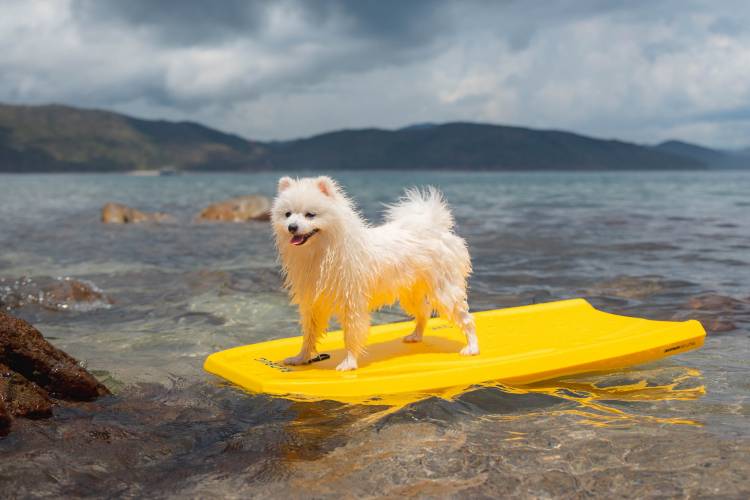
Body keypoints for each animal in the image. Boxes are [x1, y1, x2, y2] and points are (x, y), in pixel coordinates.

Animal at [274, 176, 478, 372]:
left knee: (467, 319)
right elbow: (309, 335)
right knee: (424, 313)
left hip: (445, 291)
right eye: (287, 214)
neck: (322, 252)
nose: (291, 227)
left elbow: (351, 335)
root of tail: (434, 227)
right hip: (411, 294)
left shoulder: (352, 303)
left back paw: (472, 348)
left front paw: (349, 363)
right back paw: (416, 336)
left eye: (310, 214)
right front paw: (301, 358)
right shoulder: (312, 303)